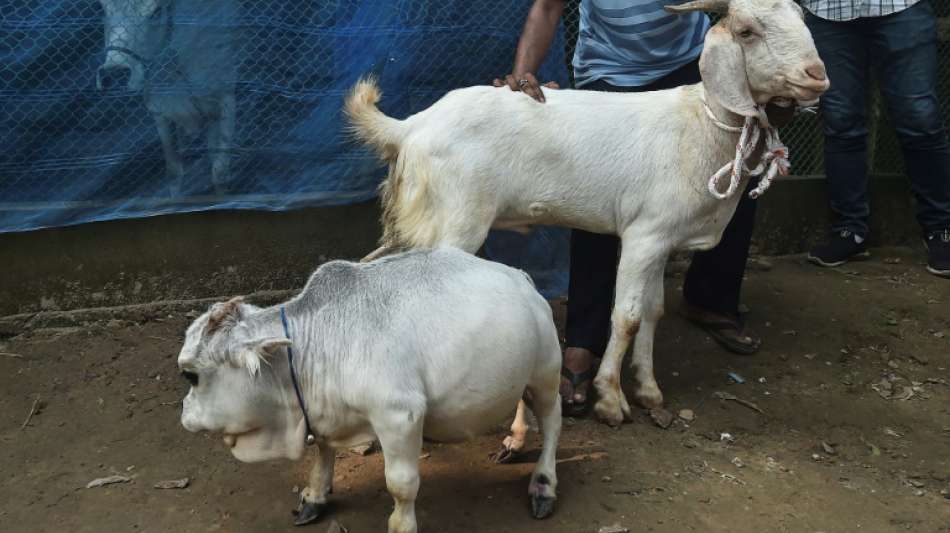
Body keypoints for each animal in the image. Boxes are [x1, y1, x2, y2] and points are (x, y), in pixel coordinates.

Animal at [96, 0, 236, 196]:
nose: (114, 73)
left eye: (156, 11)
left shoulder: (226, 98)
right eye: (102, 8)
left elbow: (220, 171)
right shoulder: (160, 114)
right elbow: (173, 171)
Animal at [177, 247, 563, 532]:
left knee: (552, 420)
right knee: (522, 401)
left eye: (190, 376)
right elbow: (323, 454)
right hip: (521, 371)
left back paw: (543, 484)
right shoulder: (326, 416)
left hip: (547, 371)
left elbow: (401, 483)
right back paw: (514, 440)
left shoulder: (400, 415)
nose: (184, 412)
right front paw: (315, 496)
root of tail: (521, 277)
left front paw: (401, 524)